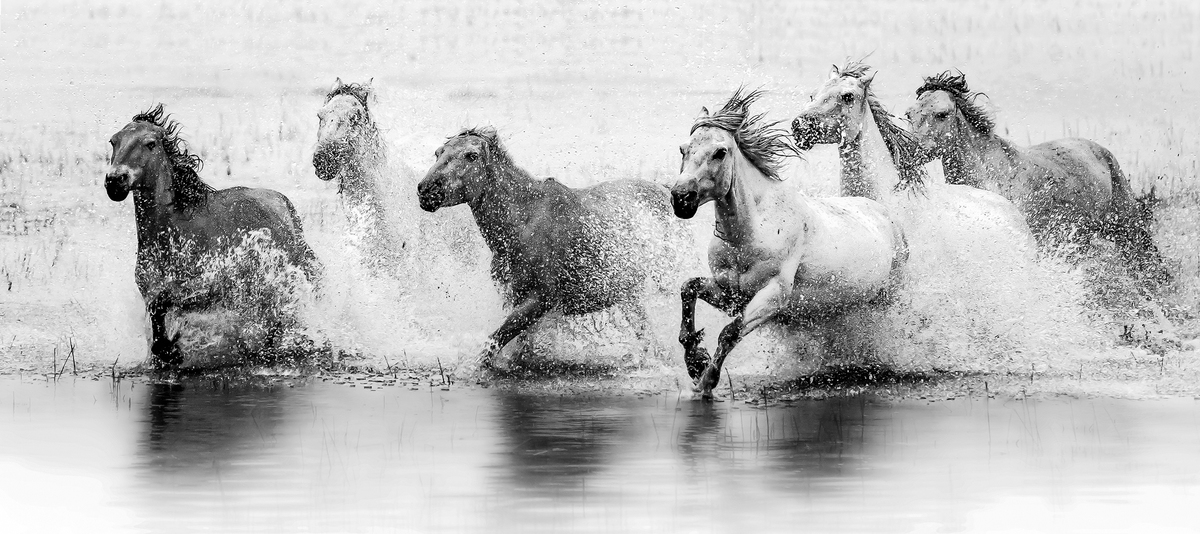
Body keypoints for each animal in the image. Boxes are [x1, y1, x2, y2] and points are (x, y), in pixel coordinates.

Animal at [105, 104, 323, 367]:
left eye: (150, 143)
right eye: (113, 141)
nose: (115, 181)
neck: (172, 237)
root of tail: (282, 202)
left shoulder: (206, 290)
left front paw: (174, 349)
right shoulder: (150, 293)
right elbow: (158, 320)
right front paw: (168, 351)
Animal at [416, 127, 675, 370]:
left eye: (471, 155)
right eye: (438, 153)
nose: (427, 190)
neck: (519, 228)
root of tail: (667, 191)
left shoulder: (542, 297)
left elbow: (494, 342)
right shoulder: (515, 295)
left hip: (664, 278)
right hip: (629, 294)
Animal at [671, 89, 908, 400]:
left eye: (720, 152)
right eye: (683, 149)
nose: (680, 198)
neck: (749, 234)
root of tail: (885, 214)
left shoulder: (774, 296)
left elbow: (730, 332)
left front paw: (706, 382)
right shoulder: (731, 293)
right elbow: (689, 288)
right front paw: (695, 361)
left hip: (890, 298)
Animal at [904, 70, 1167, 282]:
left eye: (942, 114)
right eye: (909, 115)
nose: (911, 150)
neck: (991, 181)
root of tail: (1100, 151)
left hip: (1127, 230)